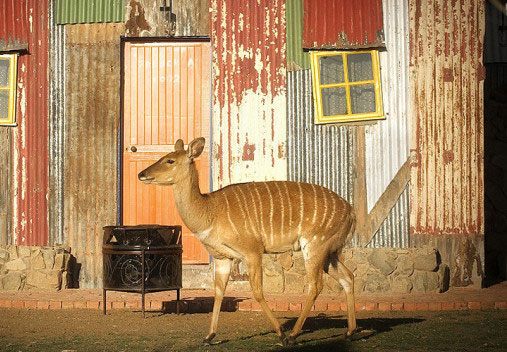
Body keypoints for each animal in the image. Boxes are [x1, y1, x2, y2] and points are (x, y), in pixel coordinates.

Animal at [139, 138, 358, 346]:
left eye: (170, 160)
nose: (142, 174)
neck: (210, 212)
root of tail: (351, 211)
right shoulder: (222, 258)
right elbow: (219, 292)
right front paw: (209, 336)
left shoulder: (253, 251)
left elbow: (258, 292)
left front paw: (281, 334)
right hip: (329, 252)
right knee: (348, 276)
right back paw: (349, 332)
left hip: (314, 245)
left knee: (316, 285)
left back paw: (293, 335)